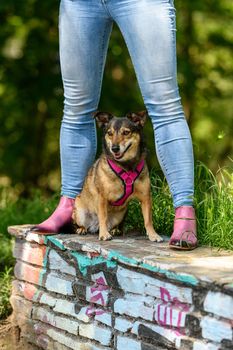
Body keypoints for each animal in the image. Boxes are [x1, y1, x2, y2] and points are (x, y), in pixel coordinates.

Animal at [72, 110, 163, 242]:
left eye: (126, 132)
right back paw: (82, 229)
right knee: (78, 224)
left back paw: (115, 230)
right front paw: (104, 234)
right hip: (79, 212)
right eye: (109, 133)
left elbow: (148, 219)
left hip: (121, 214)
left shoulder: (145, 197)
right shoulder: (102, 197)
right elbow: (103, 216)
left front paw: (153, 234)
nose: (114, 148)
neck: (126, 166)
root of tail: (94, 226)